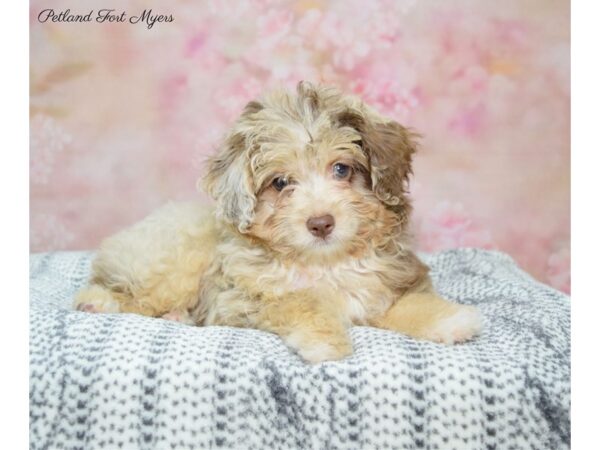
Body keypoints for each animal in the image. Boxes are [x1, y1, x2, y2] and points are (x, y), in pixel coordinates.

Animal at [75, 80, 486, 362]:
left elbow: (407, 302)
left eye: (341, 169)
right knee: (128, 294)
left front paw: (449, 320)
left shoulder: (387, 282)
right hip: (173, 265)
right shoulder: (244, 299)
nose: (320, 223)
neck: (326, 263)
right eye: (280, 183)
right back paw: (98, 302)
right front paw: (325, 340)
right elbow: (300, 301)